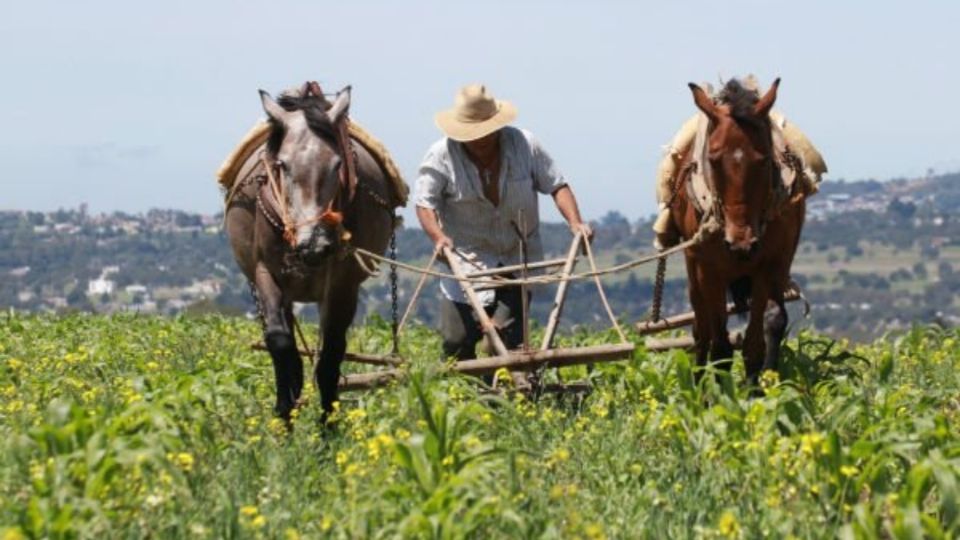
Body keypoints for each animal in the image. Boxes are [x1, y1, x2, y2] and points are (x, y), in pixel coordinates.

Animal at [225, 84, 394, 420]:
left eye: (338, 164)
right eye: (282, 165)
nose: (313, 244)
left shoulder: (343, 284)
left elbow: (331, 353)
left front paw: (328, 424)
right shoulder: (266, 273)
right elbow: (279, 341)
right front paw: (284, 411)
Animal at [672, 79, 808, 384]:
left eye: (763, 159)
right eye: (713, 159)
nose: (741, 244)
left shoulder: (767, 265)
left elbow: (756, 342)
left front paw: (757, 389)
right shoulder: (709, 271)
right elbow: (720, 345)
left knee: (774, 317)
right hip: (693, 268)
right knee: (701, 329)